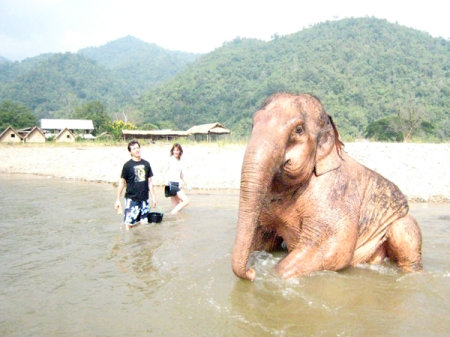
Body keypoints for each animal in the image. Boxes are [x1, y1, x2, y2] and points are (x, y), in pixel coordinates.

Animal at [232, 92, 422, 278]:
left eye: (299, 130)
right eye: (253, 124)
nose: (251, 272)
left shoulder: (334, 193)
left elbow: (332, 248)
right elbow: (261, 239)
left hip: (401, 224)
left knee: (403, 234)